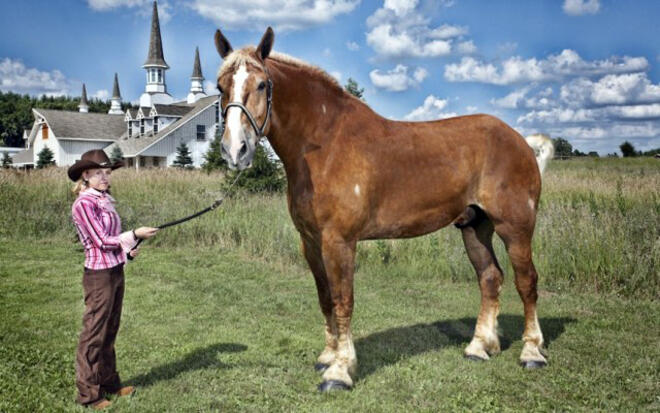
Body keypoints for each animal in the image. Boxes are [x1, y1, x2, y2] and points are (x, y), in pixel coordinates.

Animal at [214, 28, 556, 390]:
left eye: (262, 84)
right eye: (220, 86)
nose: (235, 150)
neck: (325, 144)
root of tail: (521, 141)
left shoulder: (339, 241)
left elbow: (342, 300)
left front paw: (340, 371)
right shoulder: (310, 242)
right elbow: (325, 298)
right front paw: (327, 357)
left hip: (515, 228)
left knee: (526, 282)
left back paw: (532, 352)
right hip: (475, 227)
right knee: (490, 278)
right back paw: (479, 347)